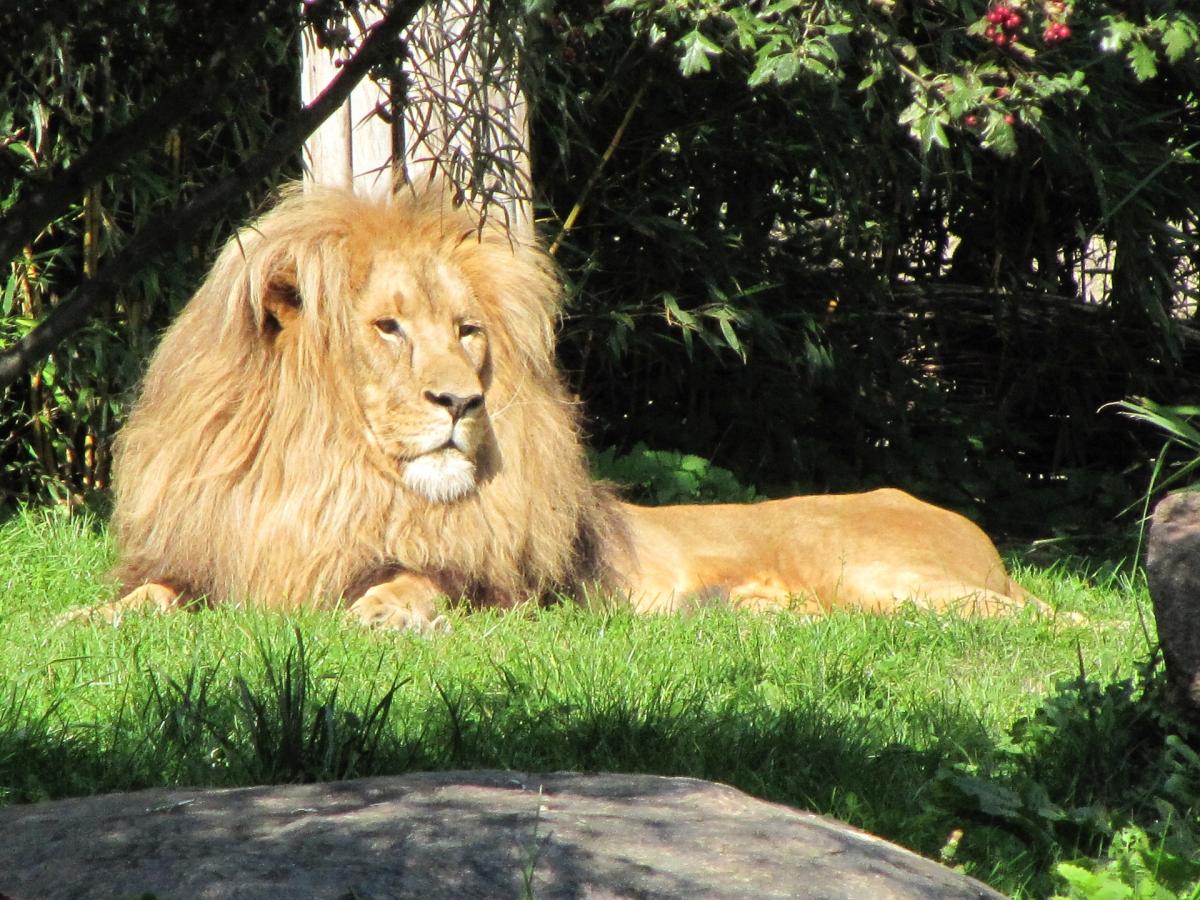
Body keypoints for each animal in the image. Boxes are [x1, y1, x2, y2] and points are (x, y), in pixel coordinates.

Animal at [65, 187, 1041, 628]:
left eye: (467, 332)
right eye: (388, 327)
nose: (461, 402)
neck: (323, 471)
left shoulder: (504, 587)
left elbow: (421, 576)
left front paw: (383, 611)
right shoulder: (217, 554)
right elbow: (156, 591)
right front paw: (87, 618)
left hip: (873, 569)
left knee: (1035, 616)